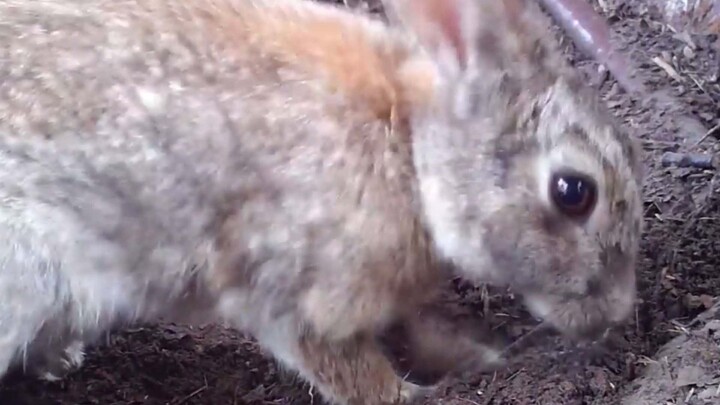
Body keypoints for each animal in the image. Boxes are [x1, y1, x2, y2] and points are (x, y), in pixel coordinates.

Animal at [0, 0, 644, 402]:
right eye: (573, 192)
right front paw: (419, 395)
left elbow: (416, 329)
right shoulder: (304, 296)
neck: (411, 153)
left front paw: (481, 357)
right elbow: (353, 371)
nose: (619, 312)